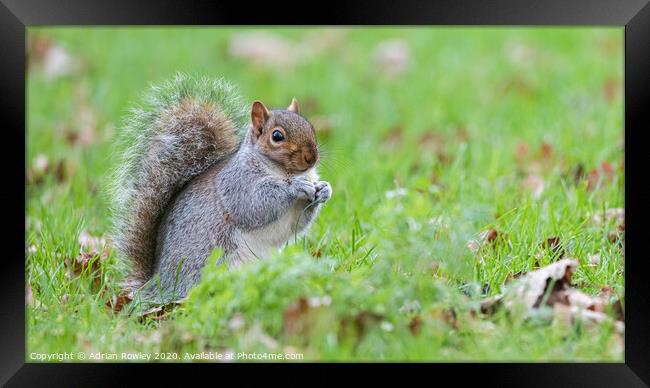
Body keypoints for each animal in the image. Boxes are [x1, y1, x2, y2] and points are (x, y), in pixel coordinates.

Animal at [110, 73, 330, 304]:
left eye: (310, 127)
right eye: (277, 136)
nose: (311, 157)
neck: (284, 172)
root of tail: (157, 283)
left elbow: (297, 224)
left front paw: (324, 189)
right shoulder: (237, 185)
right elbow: (255, 205)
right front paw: (295, 187)